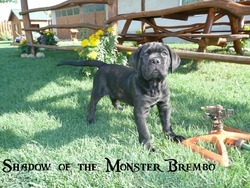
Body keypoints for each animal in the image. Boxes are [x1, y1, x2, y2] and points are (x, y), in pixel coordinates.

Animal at [57, 41, 185, 151]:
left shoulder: (165, 105)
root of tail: (104, 64)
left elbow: (167, 123)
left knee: (113, 97)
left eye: (164, 53)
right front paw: (147, 146)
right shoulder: (140, 110)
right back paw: (90, 119)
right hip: (97, 91)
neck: (153, 85)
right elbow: (144, 131)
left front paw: (172, 136)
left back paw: (118, 107)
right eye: (145, 54)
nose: (155, 60)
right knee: (92, 104)